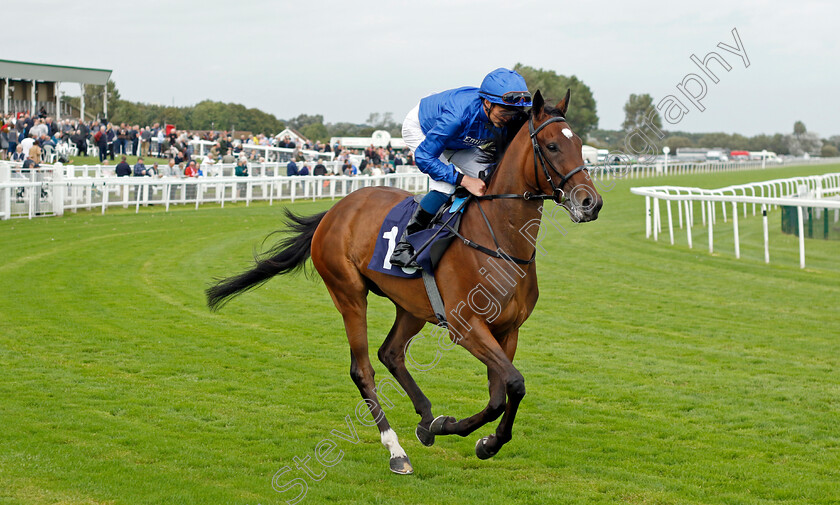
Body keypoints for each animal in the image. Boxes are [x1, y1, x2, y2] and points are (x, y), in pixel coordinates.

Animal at [210, 89, 604, 472]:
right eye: (552, 146)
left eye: (579, 143)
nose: (591, 202)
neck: (499, 241)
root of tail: (336, 210)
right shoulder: (465, 327)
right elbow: (512, 385)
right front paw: (455, 429)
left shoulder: (508, 331)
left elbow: (503, 393)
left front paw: (479, 440)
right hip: (349, 294)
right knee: (363, 369)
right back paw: (396, 450)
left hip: (411, 306)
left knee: (391, 352)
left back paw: (426, 418)